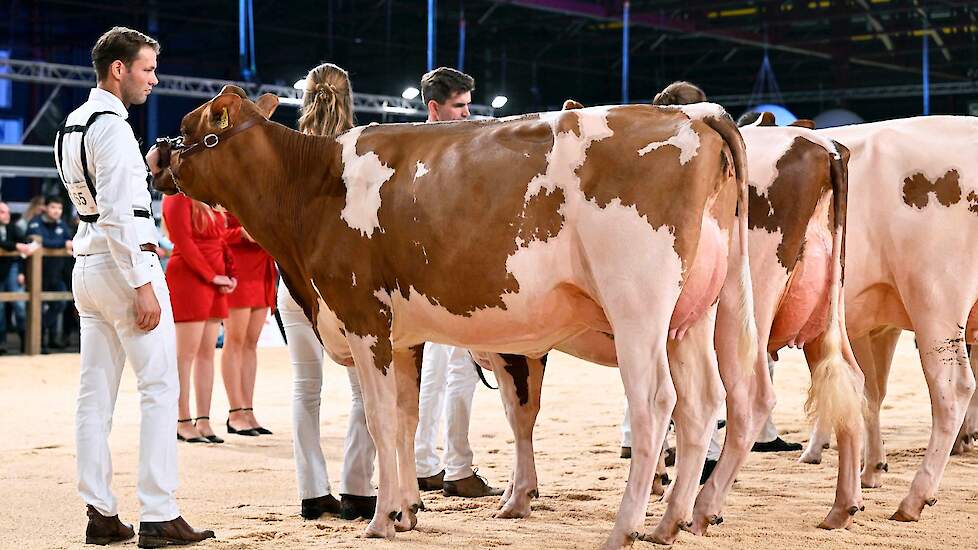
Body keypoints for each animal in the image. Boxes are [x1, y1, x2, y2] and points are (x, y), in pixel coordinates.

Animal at [149, 86, 756, 550]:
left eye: (184, 124)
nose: (154, 155)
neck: (312, 187)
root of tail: (691, 115)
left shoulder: (363, 319)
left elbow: (380, 421)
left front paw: (379, 520)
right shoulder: (402, 336)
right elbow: (406, 418)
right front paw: (406, 511)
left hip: (637, 306)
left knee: (656, 403)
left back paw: (624, 528)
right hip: (690, 315)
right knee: (703, 403)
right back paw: (670, 522)